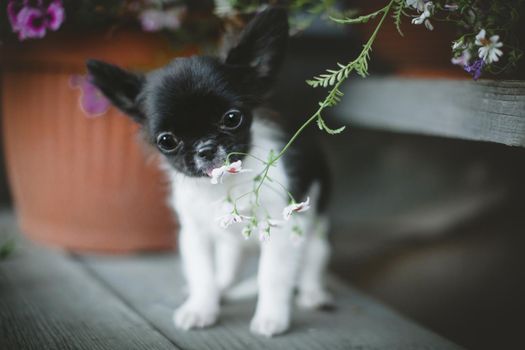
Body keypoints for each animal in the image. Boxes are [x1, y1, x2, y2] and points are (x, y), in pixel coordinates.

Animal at [87, 7, 330, 336]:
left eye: (232, 118)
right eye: (167, 140)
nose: (205, 148)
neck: (224, 185)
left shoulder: (280, 233)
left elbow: (272, 276)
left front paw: (271, 318)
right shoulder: (194, 234)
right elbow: (202, 274)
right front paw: (201, 308)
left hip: (314, 231)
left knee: (312, 261)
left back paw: (312, 293)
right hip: (230, 242)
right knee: (228, 265)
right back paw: (222, 288)